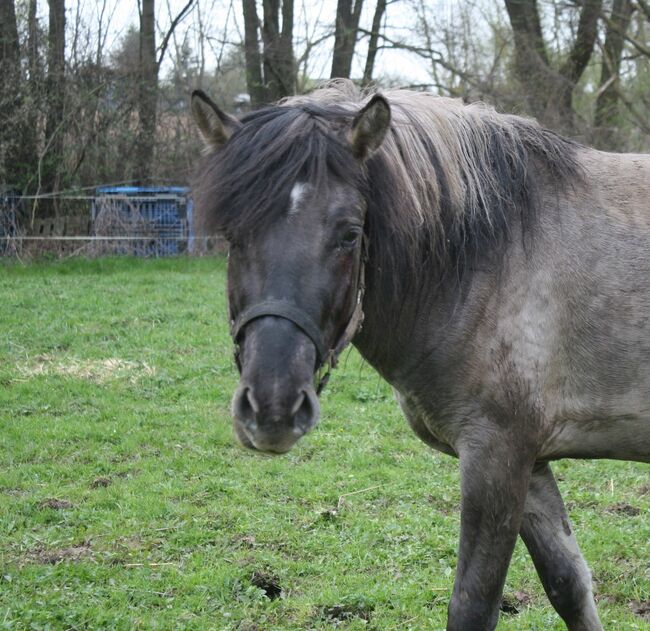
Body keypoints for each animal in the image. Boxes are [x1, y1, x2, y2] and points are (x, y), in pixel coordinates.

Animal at [191, 82, 648, 631]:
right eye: (233, 236)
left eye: (349, 234)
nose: (272, 407)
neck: (489, 259)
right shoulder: (531, 460)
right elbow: (568, 585)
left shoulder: (497, 456)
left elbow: (473, 605)